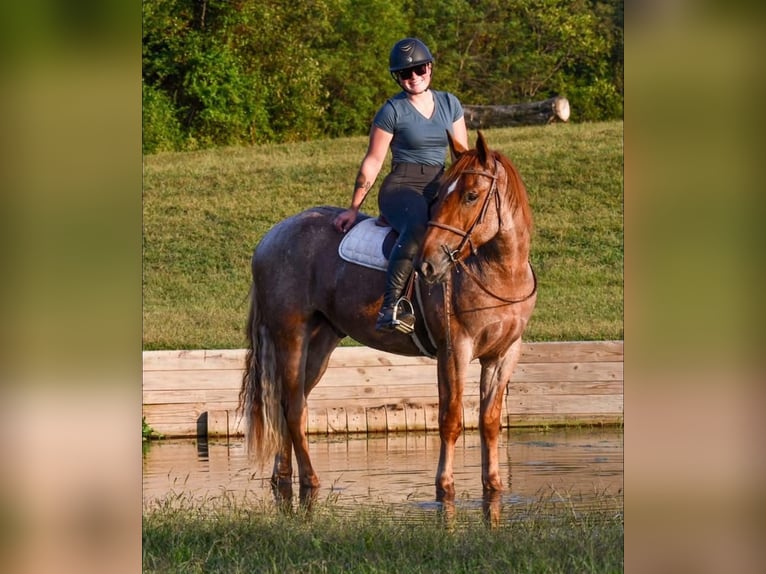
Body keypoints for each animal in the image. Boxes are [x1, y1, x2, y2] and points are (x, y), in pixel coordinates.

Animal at [239, 131, 536, 507]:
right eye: (444, 193)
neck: (500, 273)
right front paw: (444, 486)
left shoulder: (503, 355)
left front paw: (493, 485)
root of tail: (270, 237)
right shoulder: (454, 350)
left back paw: (282, 475)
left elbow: (489, 421)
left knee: (287, 405)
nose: (428, 264)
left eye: (471, 195)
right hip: (290, 337)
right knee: (292, 409)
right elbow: (451, 418)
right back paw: (309, 479)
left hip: (320, 345)